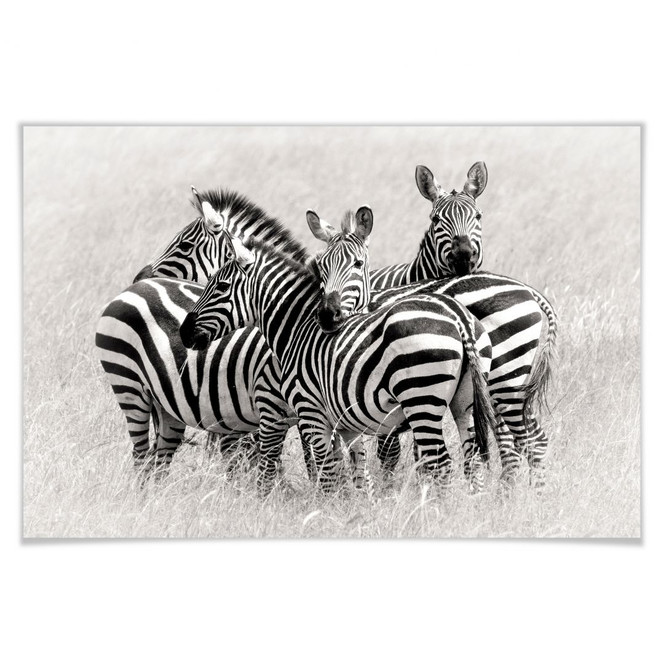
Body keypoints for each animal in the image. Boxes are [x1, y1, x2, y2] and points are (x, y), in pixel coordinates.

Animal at [179, 233, 496, 492]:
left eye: (220, 286)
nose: (183, 332)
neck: (297, 329)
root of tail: (458, 316)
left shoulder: (311, 413)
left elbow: (328, 474)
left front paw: (327, 513)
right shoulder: (346, 423)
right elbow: (357, 474)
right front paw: (357, 513)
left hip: (421, 399)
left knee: (440, 464)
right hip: (464, 404)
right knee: (472, 462)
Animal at [308, 165, 557, 490]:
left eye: (478, 216)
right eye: (436, 220)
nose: (463, 255)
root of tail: (528, 290)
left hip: (505, 379)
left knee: (524, 439)